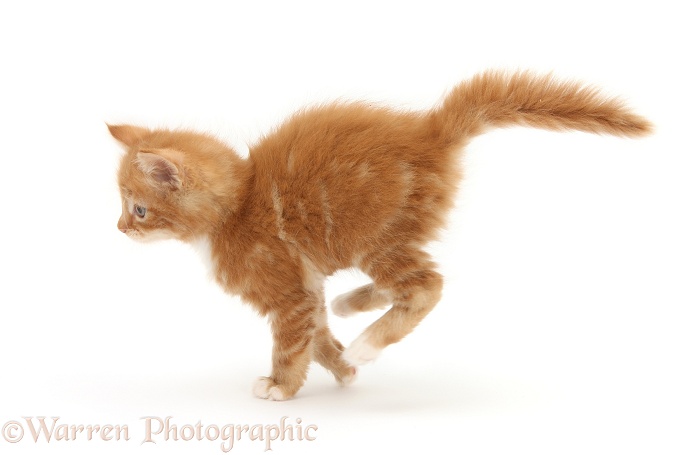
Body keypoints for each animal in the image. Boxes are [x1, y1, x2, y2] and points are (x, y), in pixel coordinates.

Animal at [109, 71, 648, 402]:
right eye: (123, 206)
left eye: (138, 209)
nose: (118, 228)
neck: (238, 204)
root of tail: (429, 133)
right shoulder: (305, 289)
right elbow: (317, 336)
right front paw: (342, 369)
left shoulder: (286, 292)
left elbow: (292, 344)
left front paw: (282, 386)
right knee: (398, 284)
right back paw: (352, 309)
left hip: (372, 234)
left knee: (427, 285)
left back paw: (367, 344)